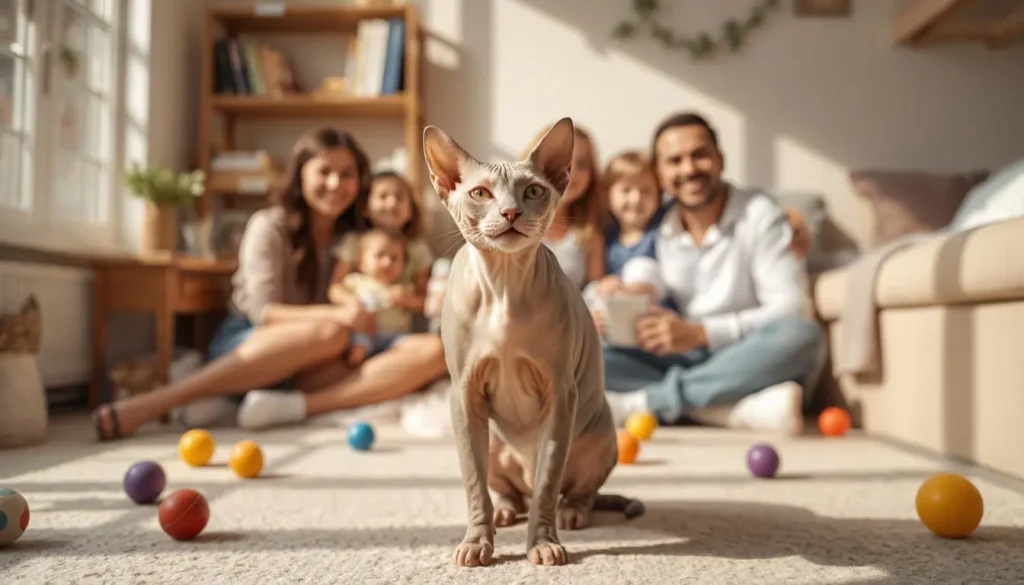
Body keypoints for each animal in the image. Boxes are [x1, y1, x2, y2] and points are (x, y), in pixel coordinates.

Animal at [421, 115, 643, 569]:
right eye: (481, 193)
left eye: (534, 191)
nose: (510, 212)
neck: (504, 286)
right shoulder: (464, 393)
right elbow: (474, 485)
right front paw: (477, 542)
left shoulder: (560, 393)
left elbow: (546, 484)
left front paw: (542, 543)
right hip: (489, 437)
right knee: (509, 491)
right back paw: (505, 511)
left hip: (597, 435)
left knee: (570, 490)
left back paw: (572, 513)